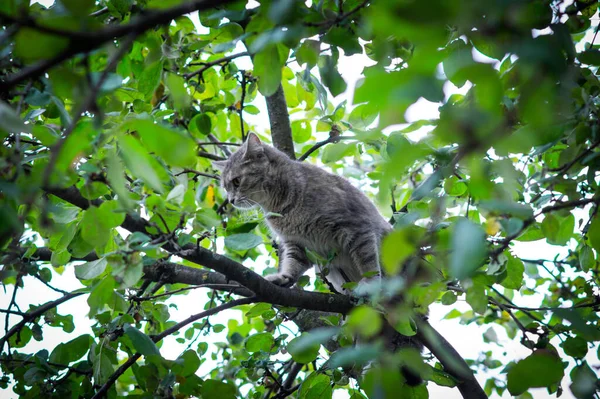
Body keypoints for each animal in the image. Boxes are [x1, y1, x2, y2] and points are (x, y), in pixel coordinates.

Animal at [213, 133, 392, 292]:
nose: (230, 200)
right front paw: (283, 278)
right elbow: (293, 263)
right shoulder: (297, 243)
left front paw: (370, 280)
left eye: (236, 181)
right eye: (225, 187)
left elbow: (367, 260)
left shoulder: (357, 227)